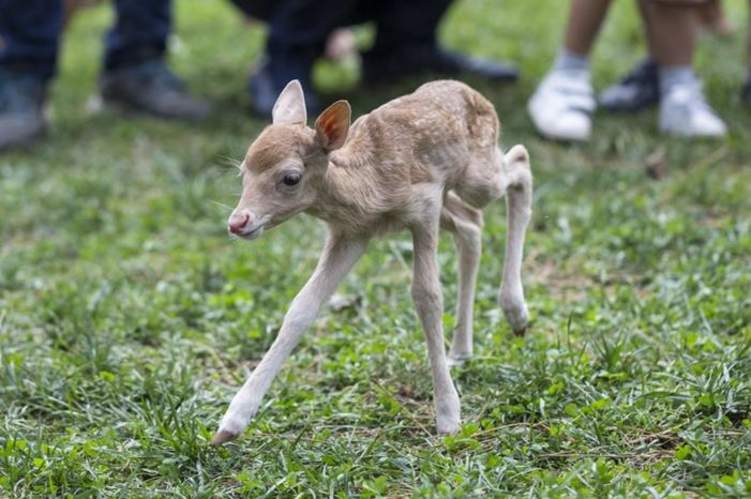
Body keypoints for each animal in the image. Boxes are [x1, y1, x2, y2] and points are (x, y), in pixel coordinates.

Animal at [212, 79, 532, 446]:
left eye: (290, 178)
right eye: (242, 172)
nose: (238, 222)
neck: (368, 189)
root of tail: (475, 94)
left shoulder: (424, 206)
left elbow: (427, 297)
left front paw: (449, 417)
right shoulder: (352, 234)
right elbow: (303, 306)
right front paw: (231, 422)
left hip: (476, 176)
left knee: (519, 163)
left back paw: (516, 312)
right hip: (452, 199)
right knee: (472, 224)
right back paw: (463, 349)